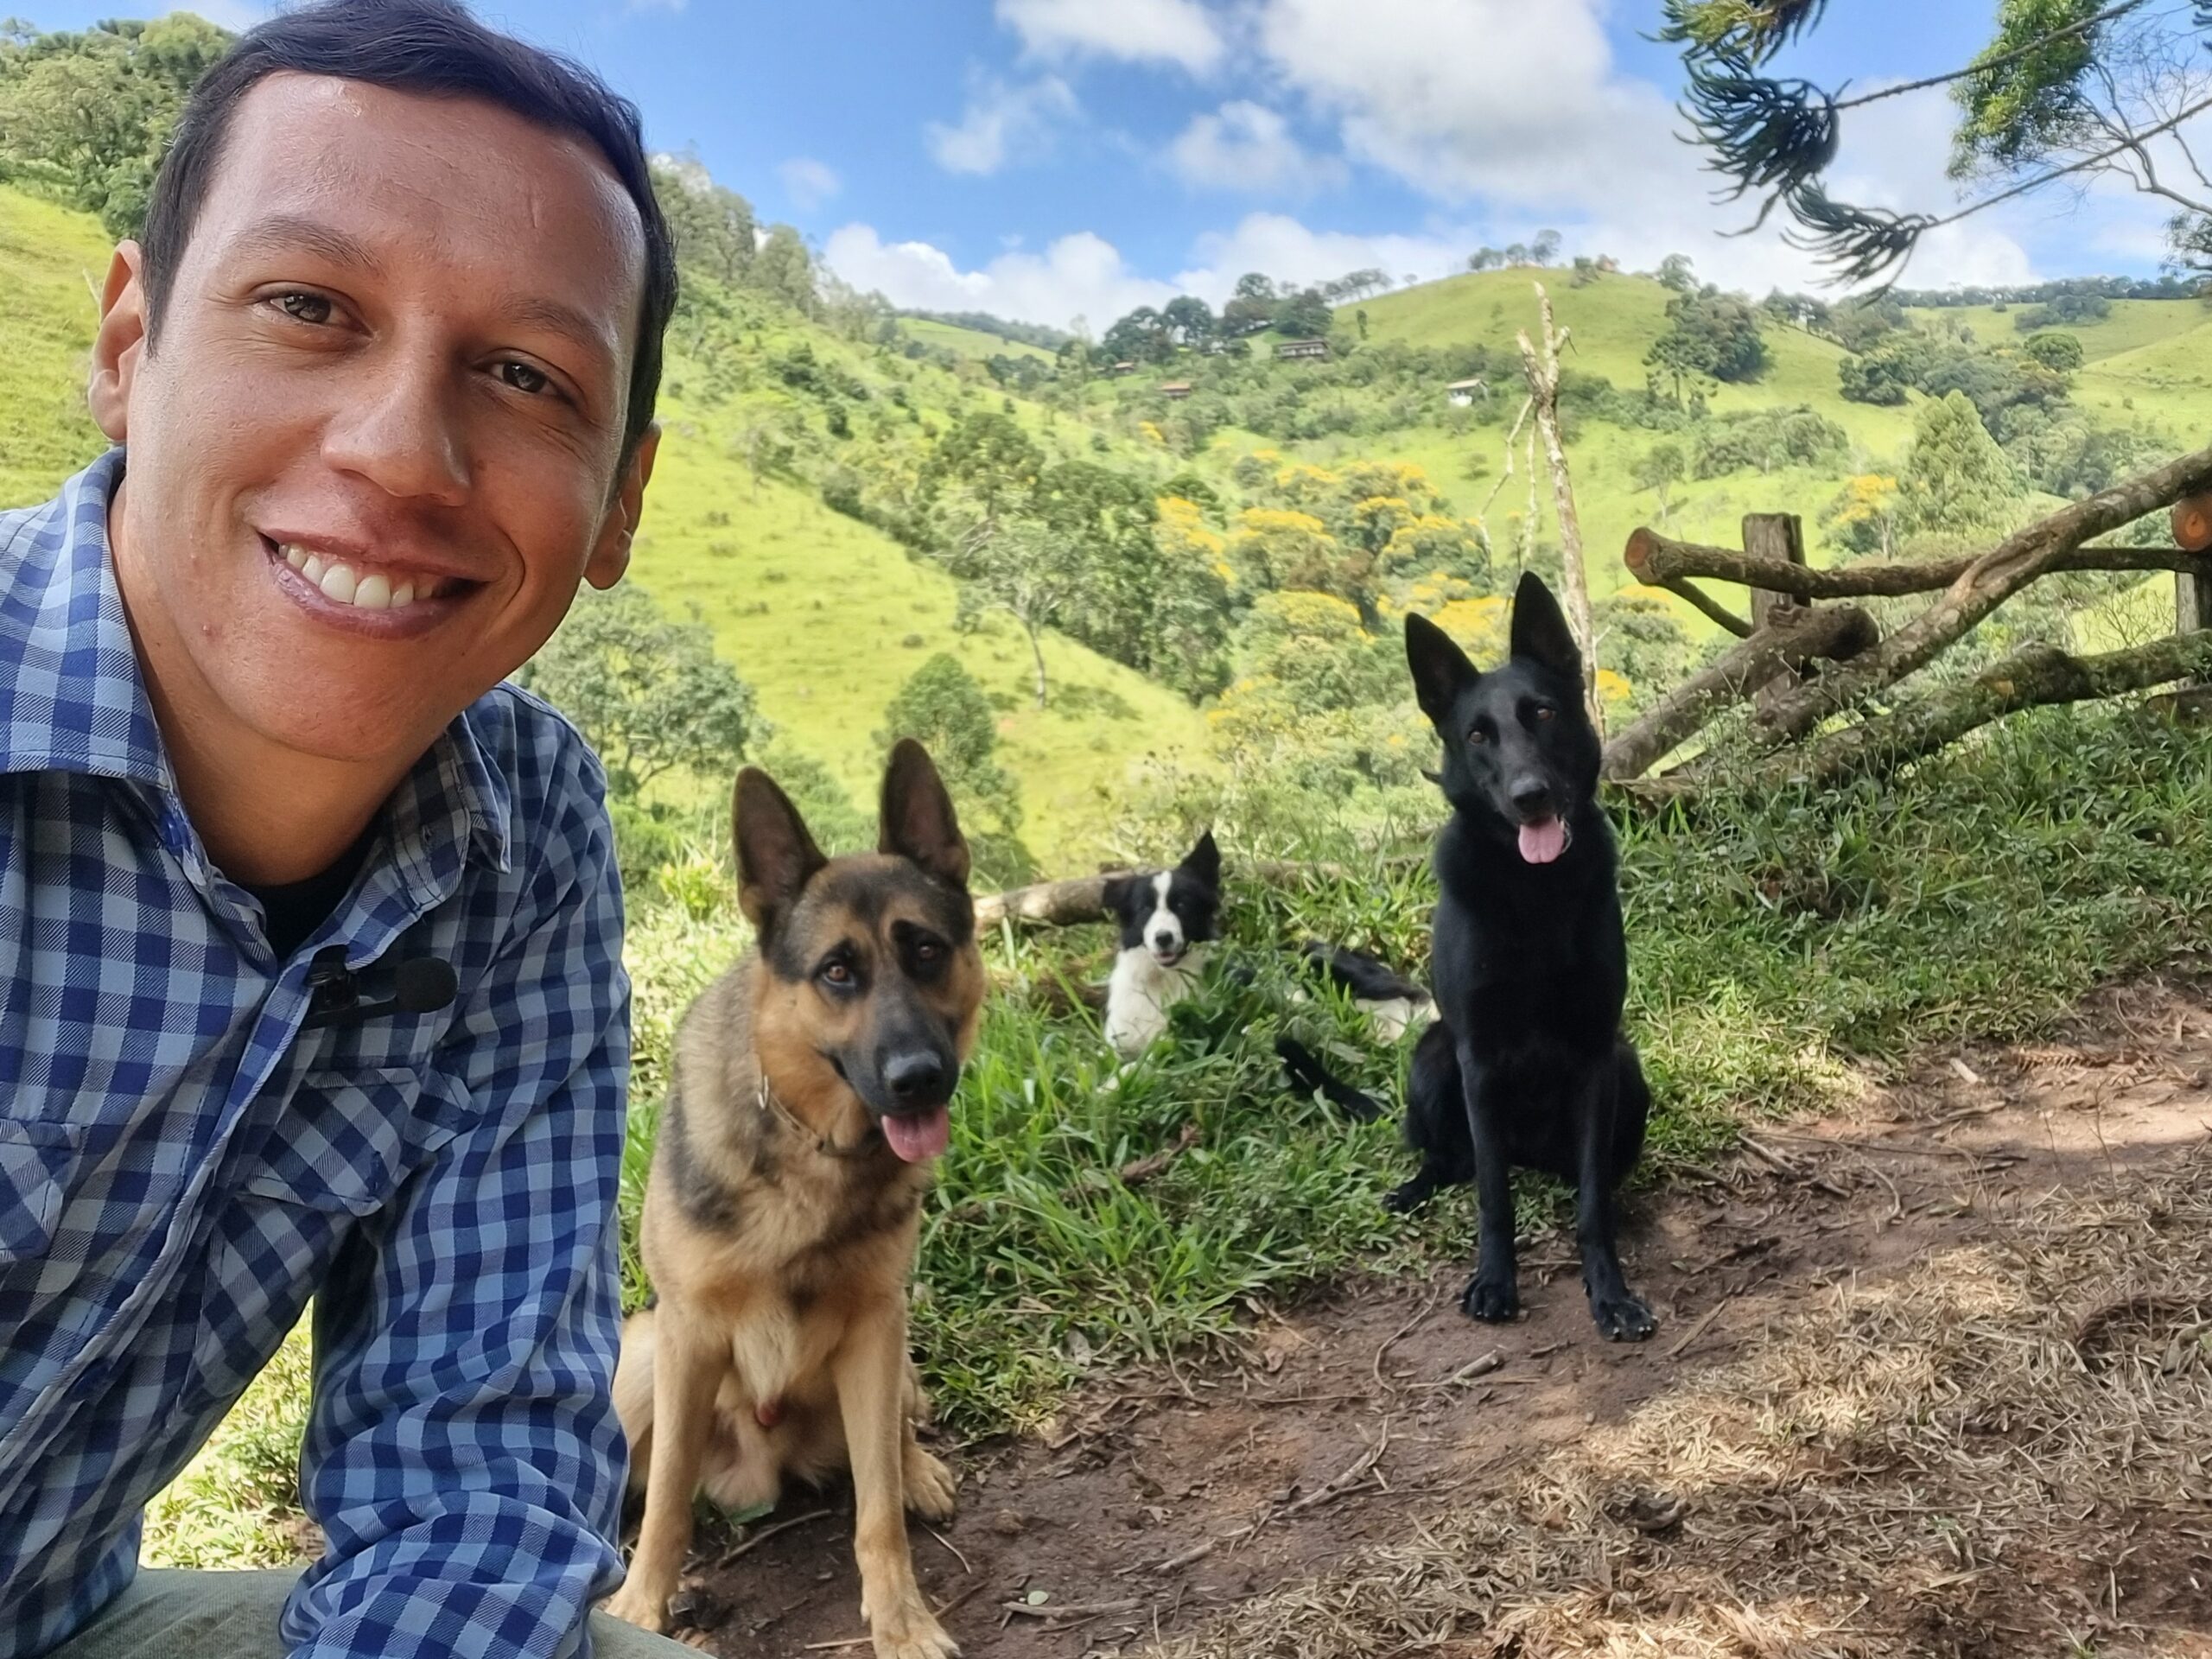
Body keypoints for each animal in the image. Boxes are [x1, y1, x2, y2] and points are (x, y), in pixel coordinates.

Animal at [603, 740, 983, 1659]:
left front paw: (903, 1620)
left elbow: (877, 1515)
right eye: (837, 971)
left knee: (894, 1436)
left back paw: (916, 1470)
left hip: (891, 1359)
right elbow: (664, 1507)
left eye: (925, 951)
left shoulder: (876, 1328)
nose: (920, 1078)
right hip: (642, 1365)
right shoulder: (688, 1334)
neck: (814, 1148)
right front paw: (640, 1610)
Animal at [1394, 573, 1656, 1343]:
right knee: (1451, 1160)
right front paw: (1493, 1281)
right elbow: (1492, 1195)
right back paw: (1414, 1188)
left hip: (1629, 1071)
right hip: (1433, 1059)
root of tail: (1534, 1156)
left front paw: (1611, 1293)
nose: (1529, 797)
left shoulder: (1598, 1054)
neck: (1533, 892)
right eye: (1478, 735)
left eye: (1542, 713)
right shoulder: (1478, 1061)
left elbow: (1593, 1203)